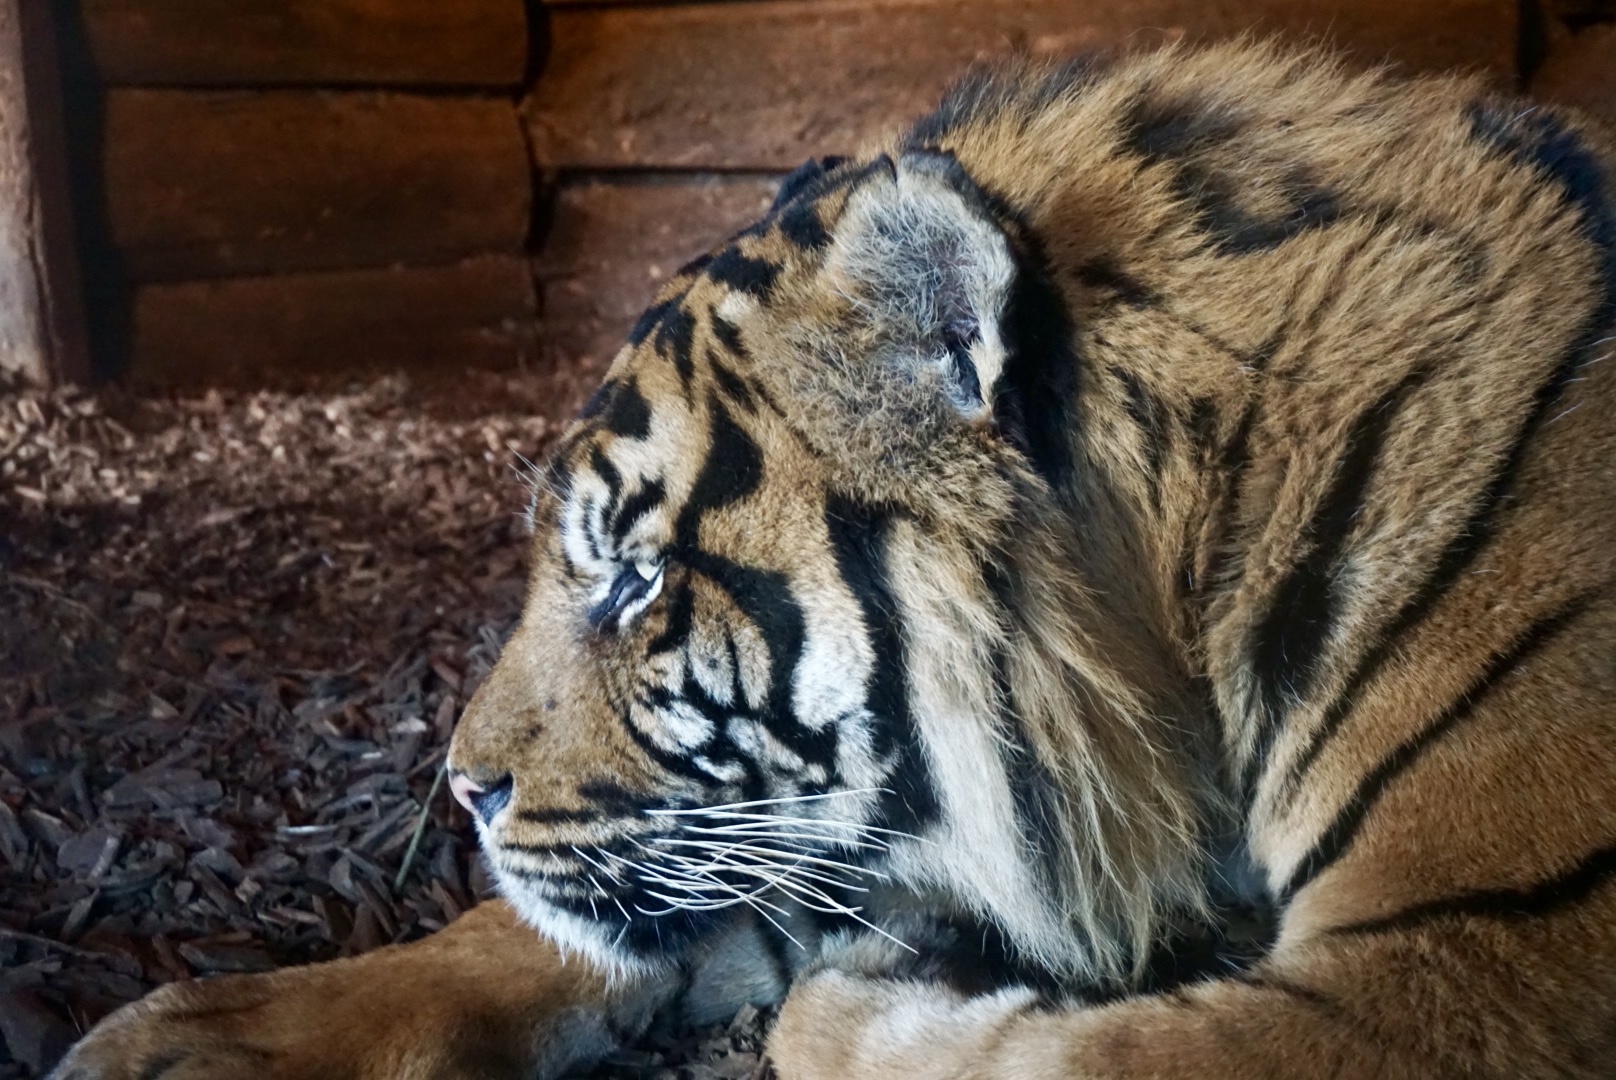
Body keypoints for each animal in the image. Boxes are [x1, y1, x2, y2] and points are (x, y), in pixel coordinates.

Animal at [55, 38, 1616, 1080]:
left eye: (634, 579)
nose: (465, 793)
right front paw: (208, 1038)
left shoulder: (1451, 974)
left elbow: (955, 1041)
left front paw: (894, 990)